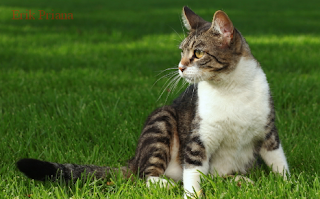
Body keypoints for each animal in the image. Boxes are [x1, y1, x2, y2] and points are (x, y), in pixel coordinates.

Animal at [16, 5, 290, 197]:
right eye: (182, 51)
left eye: (198, 53)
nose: (180, 67)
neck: (231, 88)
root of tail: (134, 158)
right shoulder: (198, 137)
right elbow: (193, 173)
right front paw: (192, 195)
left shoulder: (268, 129)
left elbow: (278, 160)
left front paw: (288, 183)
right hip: (161, 122)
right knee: (145, 176)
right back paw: (164, 183)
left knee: (214, 175)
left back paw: (238, 180)